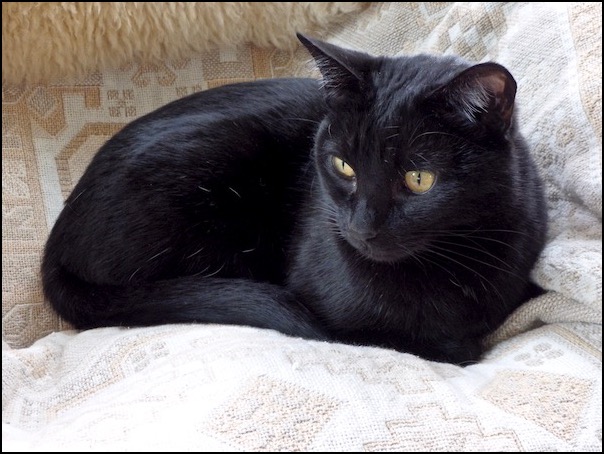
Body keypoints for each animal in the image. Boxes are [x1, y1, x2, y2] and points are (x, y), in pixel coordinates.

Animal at [41, 33, 548, 364]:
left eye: (418, 178)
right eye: (343, 165)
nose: (361, 228)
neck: (447, 267)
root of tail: (56, 245)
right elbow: (430, 344)